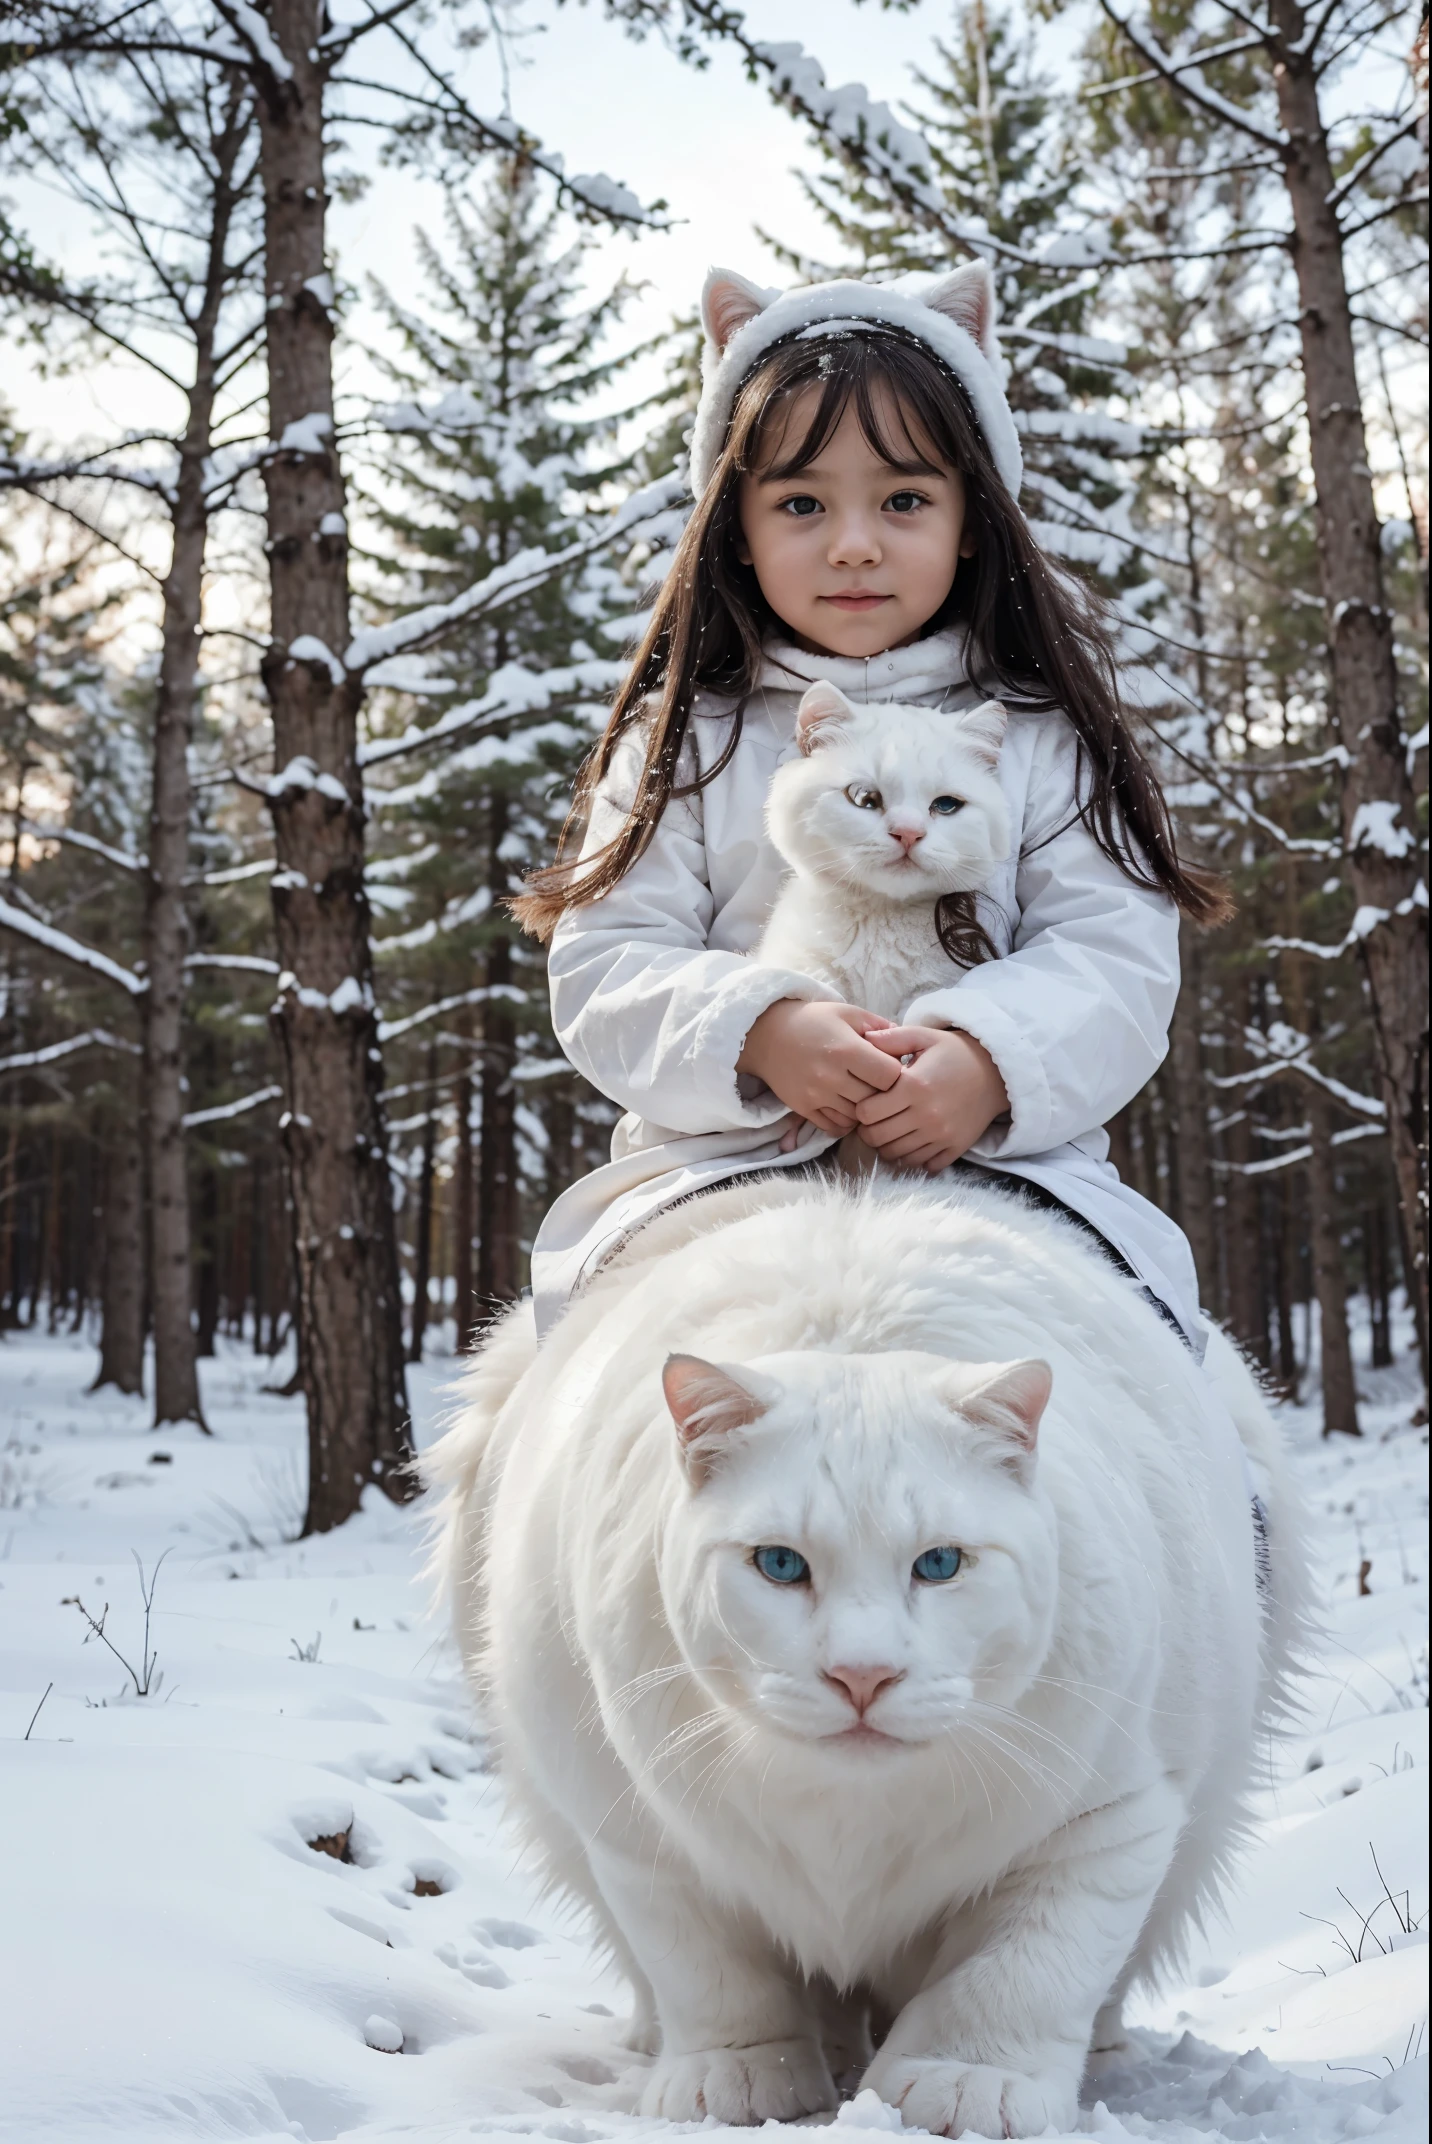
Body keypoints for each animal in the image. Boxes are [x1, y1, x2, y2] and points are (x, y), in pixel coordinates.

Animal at [424, 1174, 1311, 2144]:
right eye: (780, 1564)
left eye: (940, 1563)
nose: (862, 1676)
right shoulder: (634, 1828)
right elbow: (709, 1968)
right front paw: (738, 2080)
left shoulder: (1111, 1815)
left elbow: (1025, 1966)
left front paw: (966, 2084)